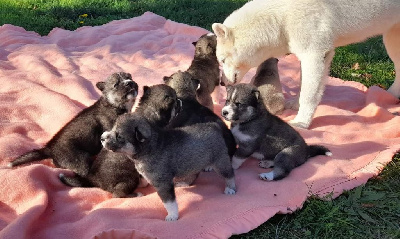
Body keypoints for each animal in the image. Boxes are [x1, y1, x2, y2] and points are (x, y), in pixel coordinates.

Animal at [8, 71, 138, 177]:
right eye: (116, 85)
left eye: (130, 77)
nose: (130, 83)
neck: (114, 105)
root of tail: (49, 149)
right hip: (80, 160)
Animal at [101, 115, 236, 221]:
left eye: (119, 136)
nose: (102, 138)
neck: (149, 147)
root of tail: (214, 126)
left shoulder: (163, 184)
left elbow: (169, 202)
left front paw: (172, 215)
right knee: (194, 174)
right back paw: (184, 182)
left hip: (220, 162)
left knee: (229, 174)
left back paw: (230, 189)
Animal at [212, 0, 400, 129]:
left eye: (222, 60)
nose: (221, 82)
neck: (281, 16)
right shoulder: (320, 53)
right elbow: (305, 85)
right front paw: (296, 105)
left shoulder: (314, 53)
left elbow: (309, 94)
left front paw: (302, 122)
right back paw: (390, 96)